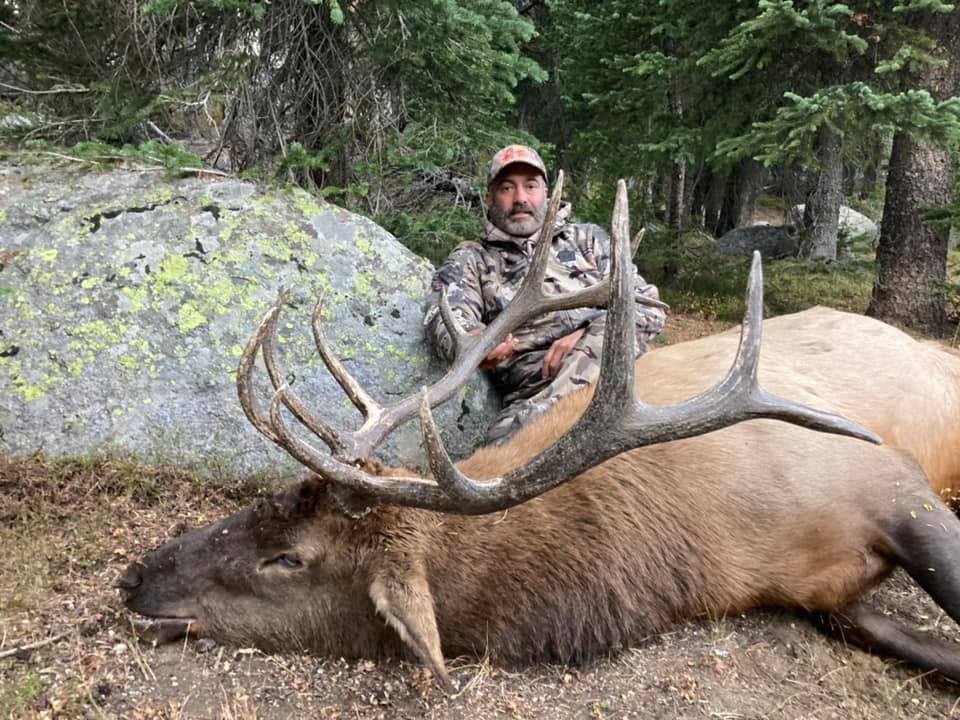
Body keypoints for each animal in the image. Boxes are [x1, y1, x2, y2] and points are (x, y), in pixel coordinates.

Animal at [119, 175, 960, 691]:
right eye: (261, 500)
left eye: (289, 559)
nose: (133, 576)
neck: (715, 554)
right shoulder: (829, 597)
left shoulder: (888, 484)